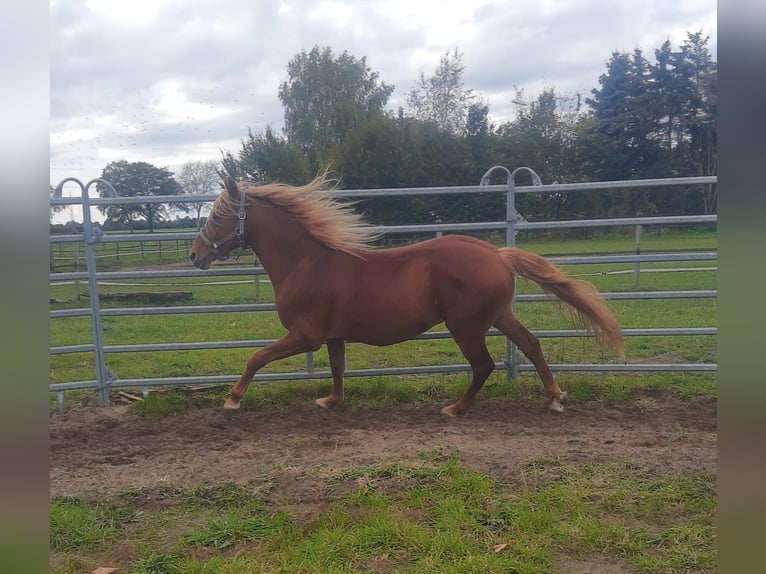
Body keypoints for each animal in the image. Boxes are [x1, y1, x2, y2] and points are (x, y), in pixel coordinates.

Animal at [190, 176, 624, 418]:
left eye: (217, 217)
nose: (195, 255)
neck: (306, 262)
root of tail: (497, 254)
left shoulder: (305, 336)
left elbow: (256, 357)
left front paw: (232, 400)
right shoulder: (332, 335)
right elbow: (337, 368)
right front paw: (331, 402)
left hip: (466, 327)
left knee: (483, 366)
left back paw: (456, 409)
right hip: (499, 316)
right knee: (531, 345)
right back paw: (555, 399)